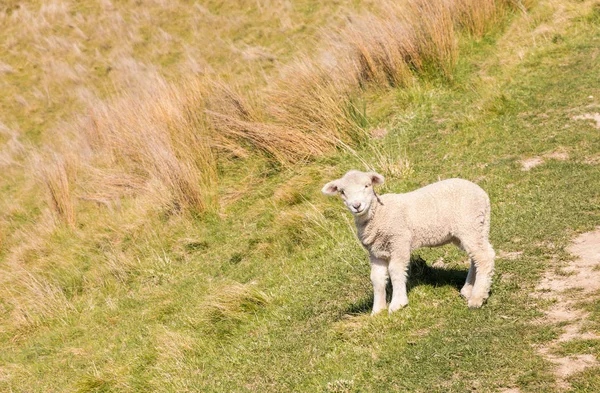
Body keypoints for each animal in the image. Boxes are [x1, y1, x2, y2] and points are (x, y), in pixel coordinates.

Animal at [322, 170, 494, 314]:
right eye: (342, 192)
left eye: (367, 185)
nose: (356, 206)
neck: (378, 213)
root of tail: (482, 194)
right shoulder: (376, 252)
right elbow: (376, 278)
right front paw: (377, 310)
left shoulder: (399, 242)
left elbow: (395, 271)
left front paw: (397, 303)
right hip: (474, 228)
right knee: (476, 257)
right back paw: (468, 290)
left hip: (469, 224)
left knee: (484, 257)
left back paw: (477, 298)